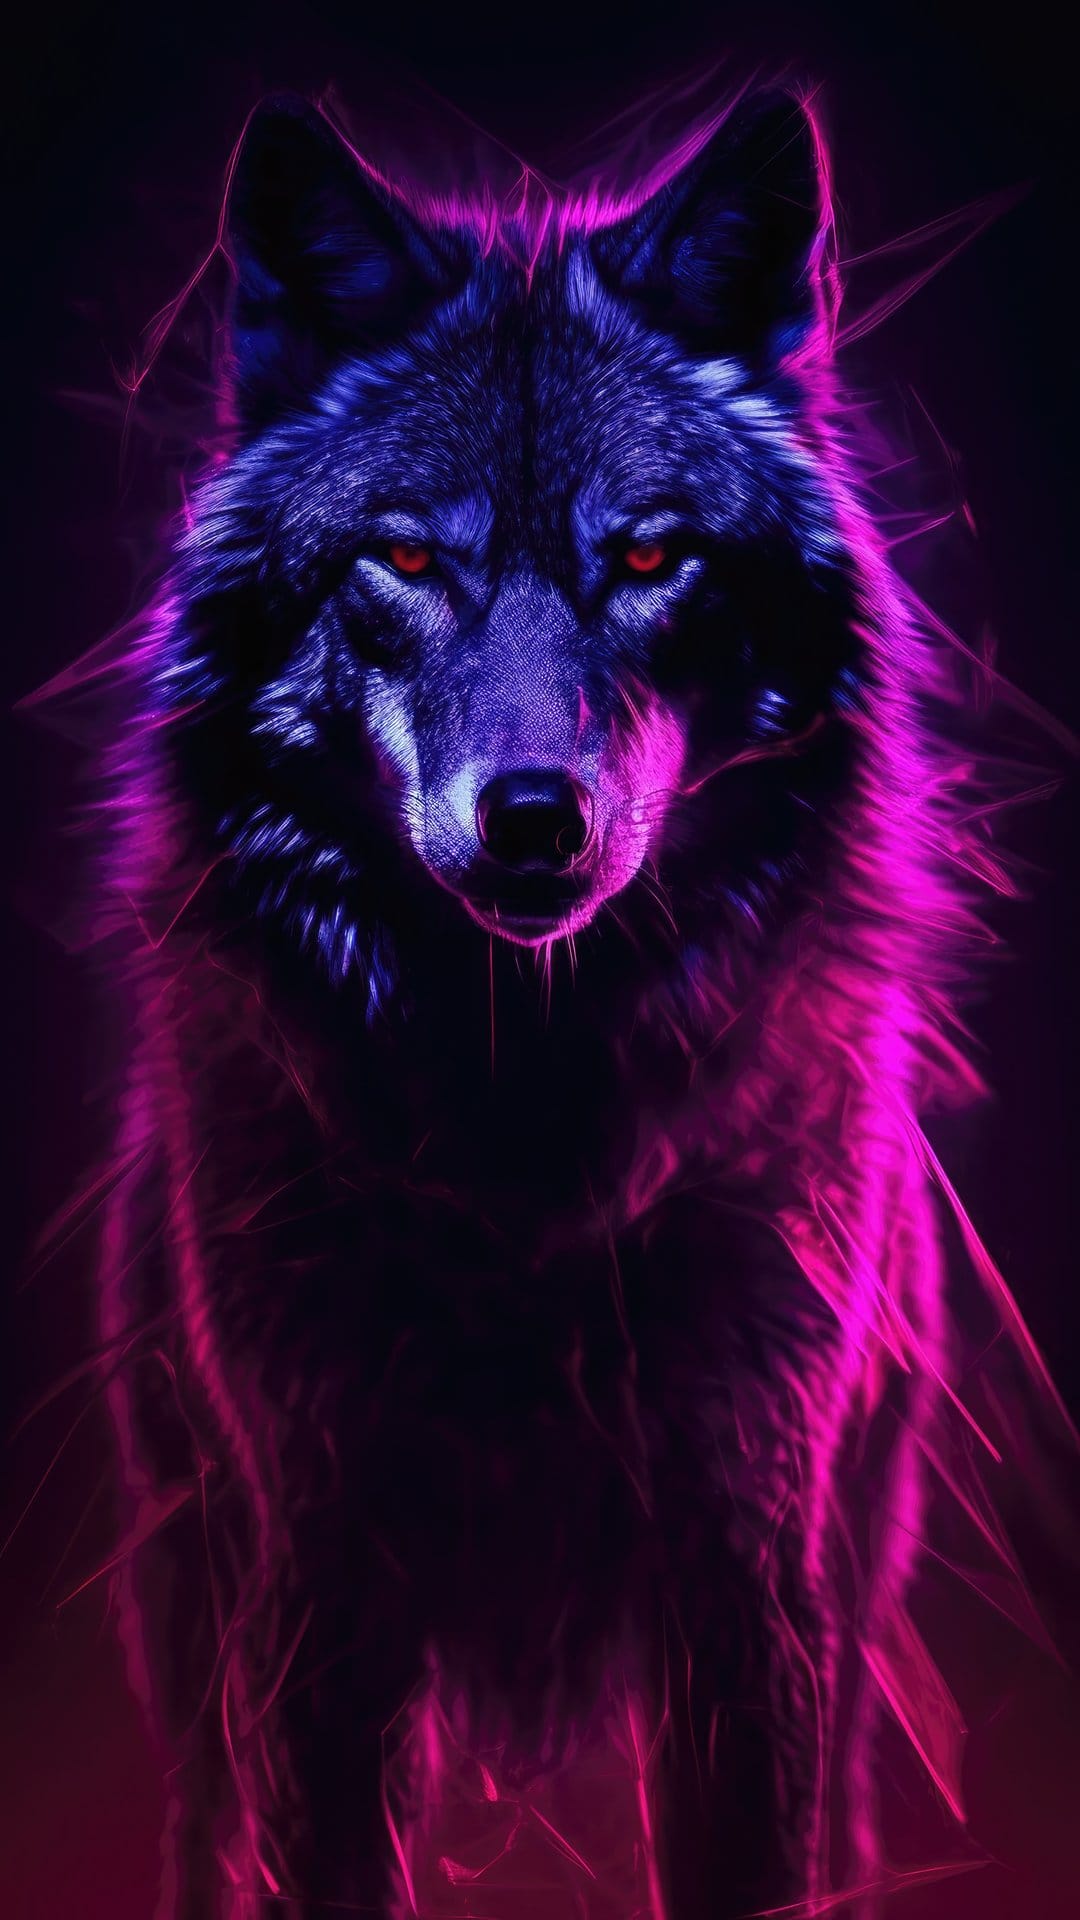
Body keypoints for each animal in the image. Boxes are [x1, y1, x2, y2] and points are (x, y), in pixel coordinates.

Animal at [98, 87, 980, 1919]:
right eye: (403, 556)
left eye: (647, 552)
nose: (531, 817)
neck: (528, 1137)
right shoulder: (318, 1591)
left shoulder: (748, 1583)